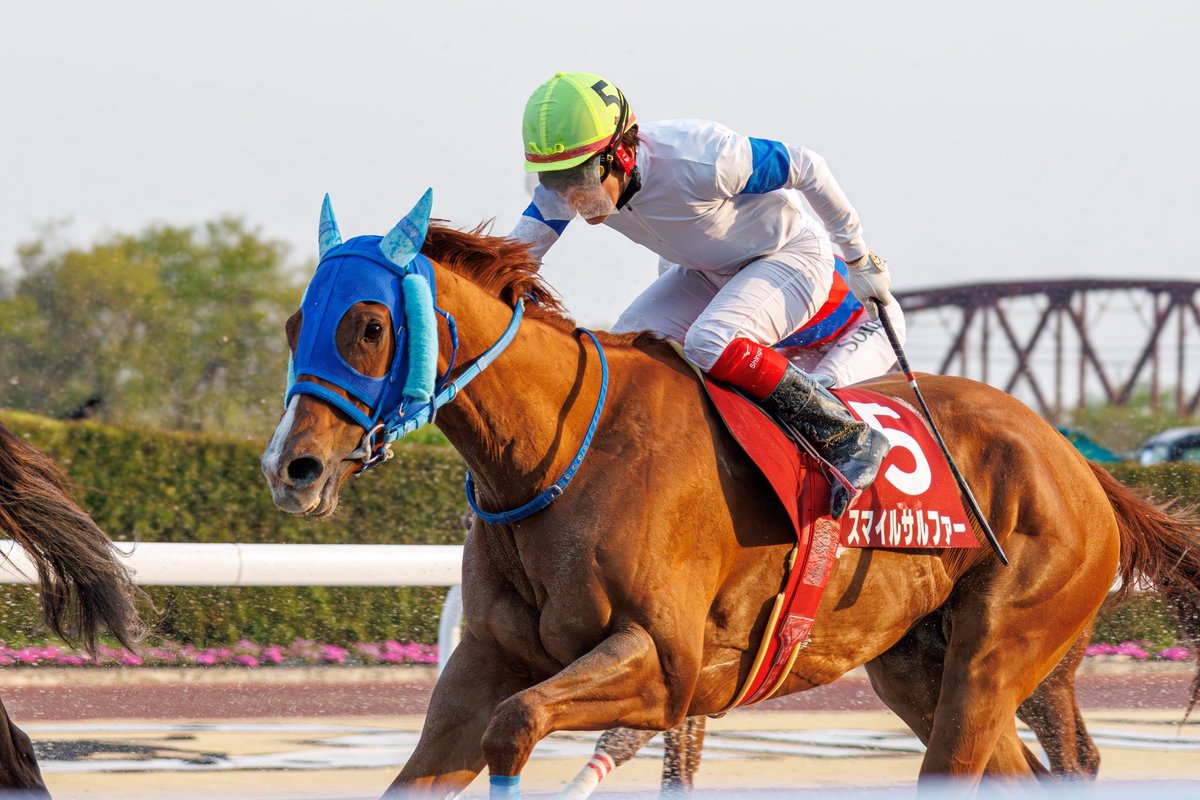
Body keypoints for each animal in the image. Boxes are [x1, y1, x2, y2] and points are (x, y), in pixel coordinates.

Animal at [260, 194, 1200, 798]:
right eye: (294, 323)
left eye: (369, 325)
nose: (290, 467)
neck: (555, 457)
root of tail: (1077, 462)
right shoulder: (484, 661)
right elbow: (444, 751)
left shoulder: (665, 666)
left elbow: (517, 725)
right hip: (917, 665)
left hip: (1002, 646)